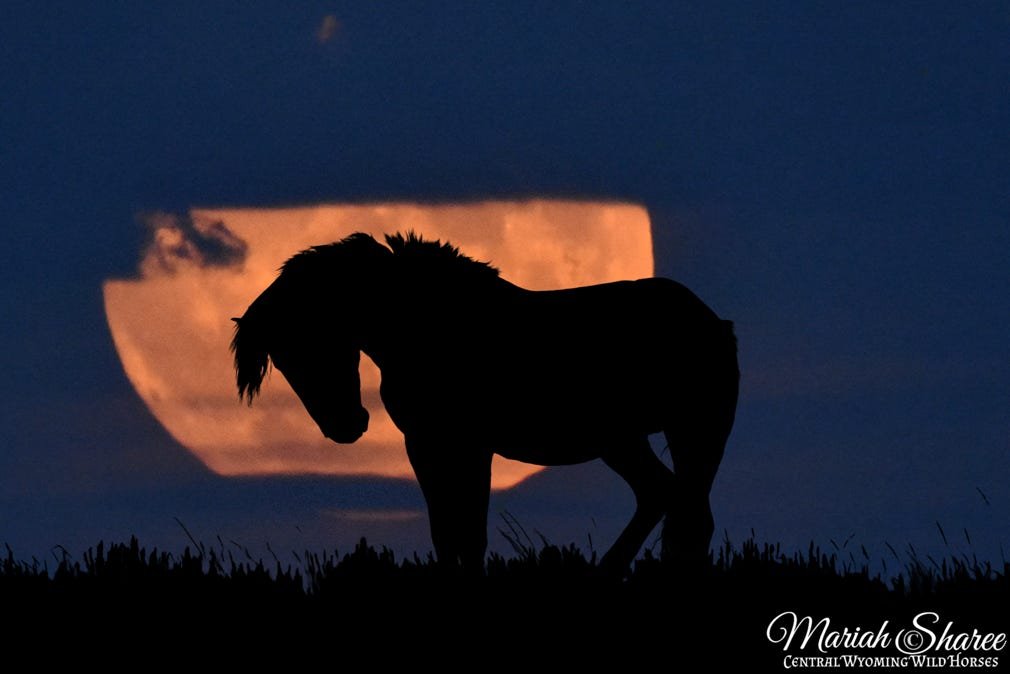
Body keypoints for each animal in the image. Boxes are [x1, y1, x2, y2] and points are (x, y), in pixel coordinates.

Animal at [232, 233, 739, 573]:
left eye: (313, 342)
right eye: (283, 360)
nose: (346, 427)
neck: (425, 325)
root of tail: (711, 320)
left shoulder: (461, 445)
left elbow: (467, 529)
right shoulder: (434, 446)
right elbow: (448, 530)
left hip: (684, 431)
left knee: (682, 508)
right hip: (637, 440)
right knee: (669, 500)